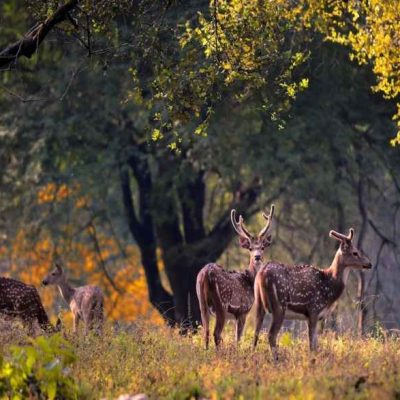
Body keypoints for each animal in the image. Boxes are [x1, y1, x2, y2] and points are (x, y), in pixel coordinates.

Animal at [197, 205, 276, 348]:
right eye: (250, 248)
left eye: (262, 247)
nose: (257, 257)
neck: (250, 281)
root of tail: (205, 274)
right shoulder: (242, 310)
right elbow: (238, 339)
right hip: (221, 304)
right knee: (216, 333)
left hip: (201, 302)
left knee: (205, 332)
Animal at [253, 228, 372, 356]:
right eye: (355, 252)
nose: (369, 263)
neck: (329, 287)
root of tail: (261, 274)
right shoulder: (314, 309)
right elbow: (312, 345)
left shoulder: (313, 315)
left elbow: (315, 343)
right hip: (279, 305)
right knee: (271, 335)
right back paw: (276, 358)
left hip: (259, 303)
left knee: (255, 333)